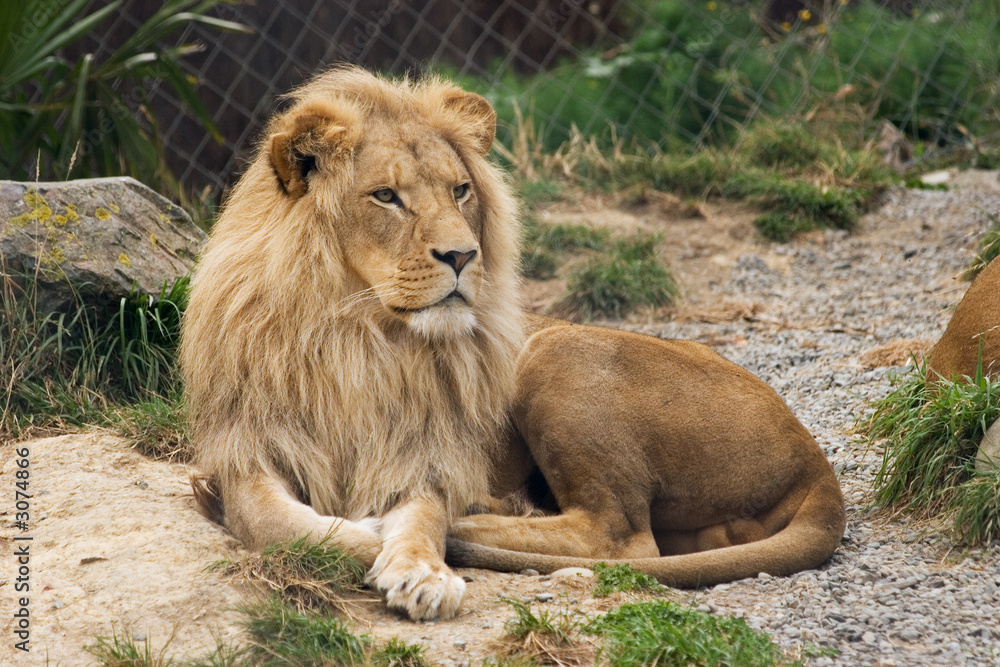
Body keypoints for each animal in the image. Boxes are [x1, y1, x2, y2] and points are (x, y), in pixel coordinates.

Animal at [180, 66, 524, 621]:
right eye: (386, 196)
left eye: (461, 191)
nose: (462, 255)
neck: (358, 341)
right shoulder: (248, 449)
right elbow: (280, 525)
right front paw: (368, 532)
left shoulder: (421, 454)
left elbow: (426, 519)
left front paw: (423, 572)